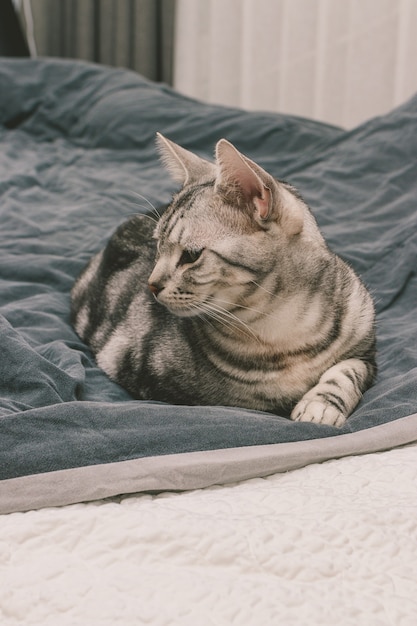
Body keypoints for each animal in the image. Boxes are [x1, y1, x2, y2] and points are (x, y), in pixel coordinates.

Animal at [71, 131, 376, 424]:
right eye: (157, 246)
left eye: (191, 255)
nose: (152, 285)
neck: (284, 329)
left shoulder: (366, 352)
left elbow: (347, 371)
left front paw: (321, 405)